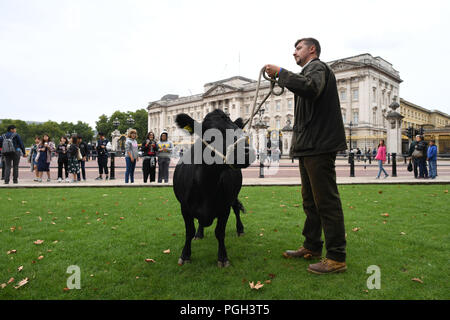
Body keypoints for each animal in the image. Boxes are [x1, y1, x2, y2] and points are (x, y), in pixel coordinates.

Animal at [173, 109, 255, 266]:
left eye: (237, 128)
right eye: (209, 133)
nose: (245, 152)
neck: (206, 185)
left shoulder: (224, 207)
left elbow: (220, 232)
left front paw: (222, 258)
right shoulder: (184, 208)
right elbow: (189, 231)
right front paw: (185, 255)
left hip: (234, 196)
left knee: (236, 209)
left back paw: (240, 229)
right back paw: (199, 234)